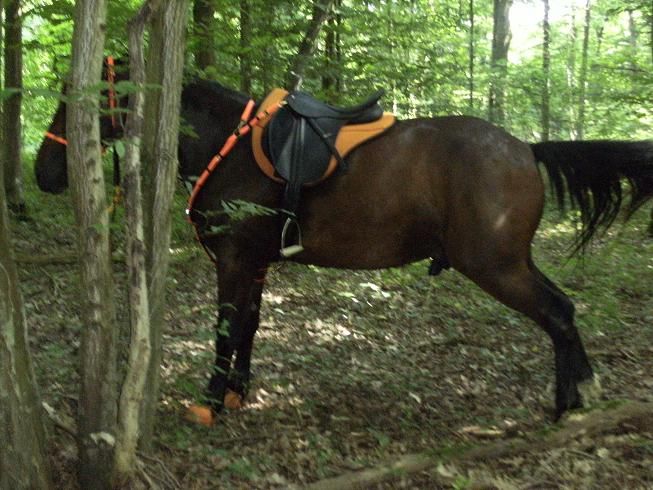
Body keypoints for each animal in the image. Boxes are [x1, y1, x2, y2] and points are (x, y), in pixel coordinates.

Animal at [34, 77, 653, 421]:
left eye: (75, 103)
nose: (44, 173)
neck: (225, 145)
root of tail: (526, 148)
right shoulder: (255, 262)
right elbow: (249, 326)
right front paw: (236, 395)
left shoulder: (234, 260)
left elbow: (226, 329)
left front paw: (209, 403)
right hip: (510, 262)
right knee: (564, 308)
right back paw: (581, 392)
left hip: (495, 265)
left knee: (556, 312)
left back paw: (567, 401)